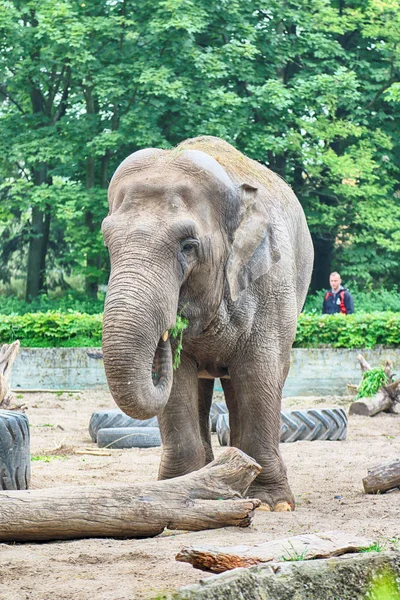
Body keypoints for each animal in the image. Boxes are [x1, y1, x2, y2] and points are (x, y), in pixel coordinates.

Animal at [101, 135, 312, 510]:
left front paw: (272, 503)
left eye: (188, 246)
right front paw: (177, 491)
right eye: (107, 241)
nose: (168, 333)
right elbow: (178, 387)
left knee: (254, 379)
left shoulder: (272, 287)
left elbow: (259, 375)